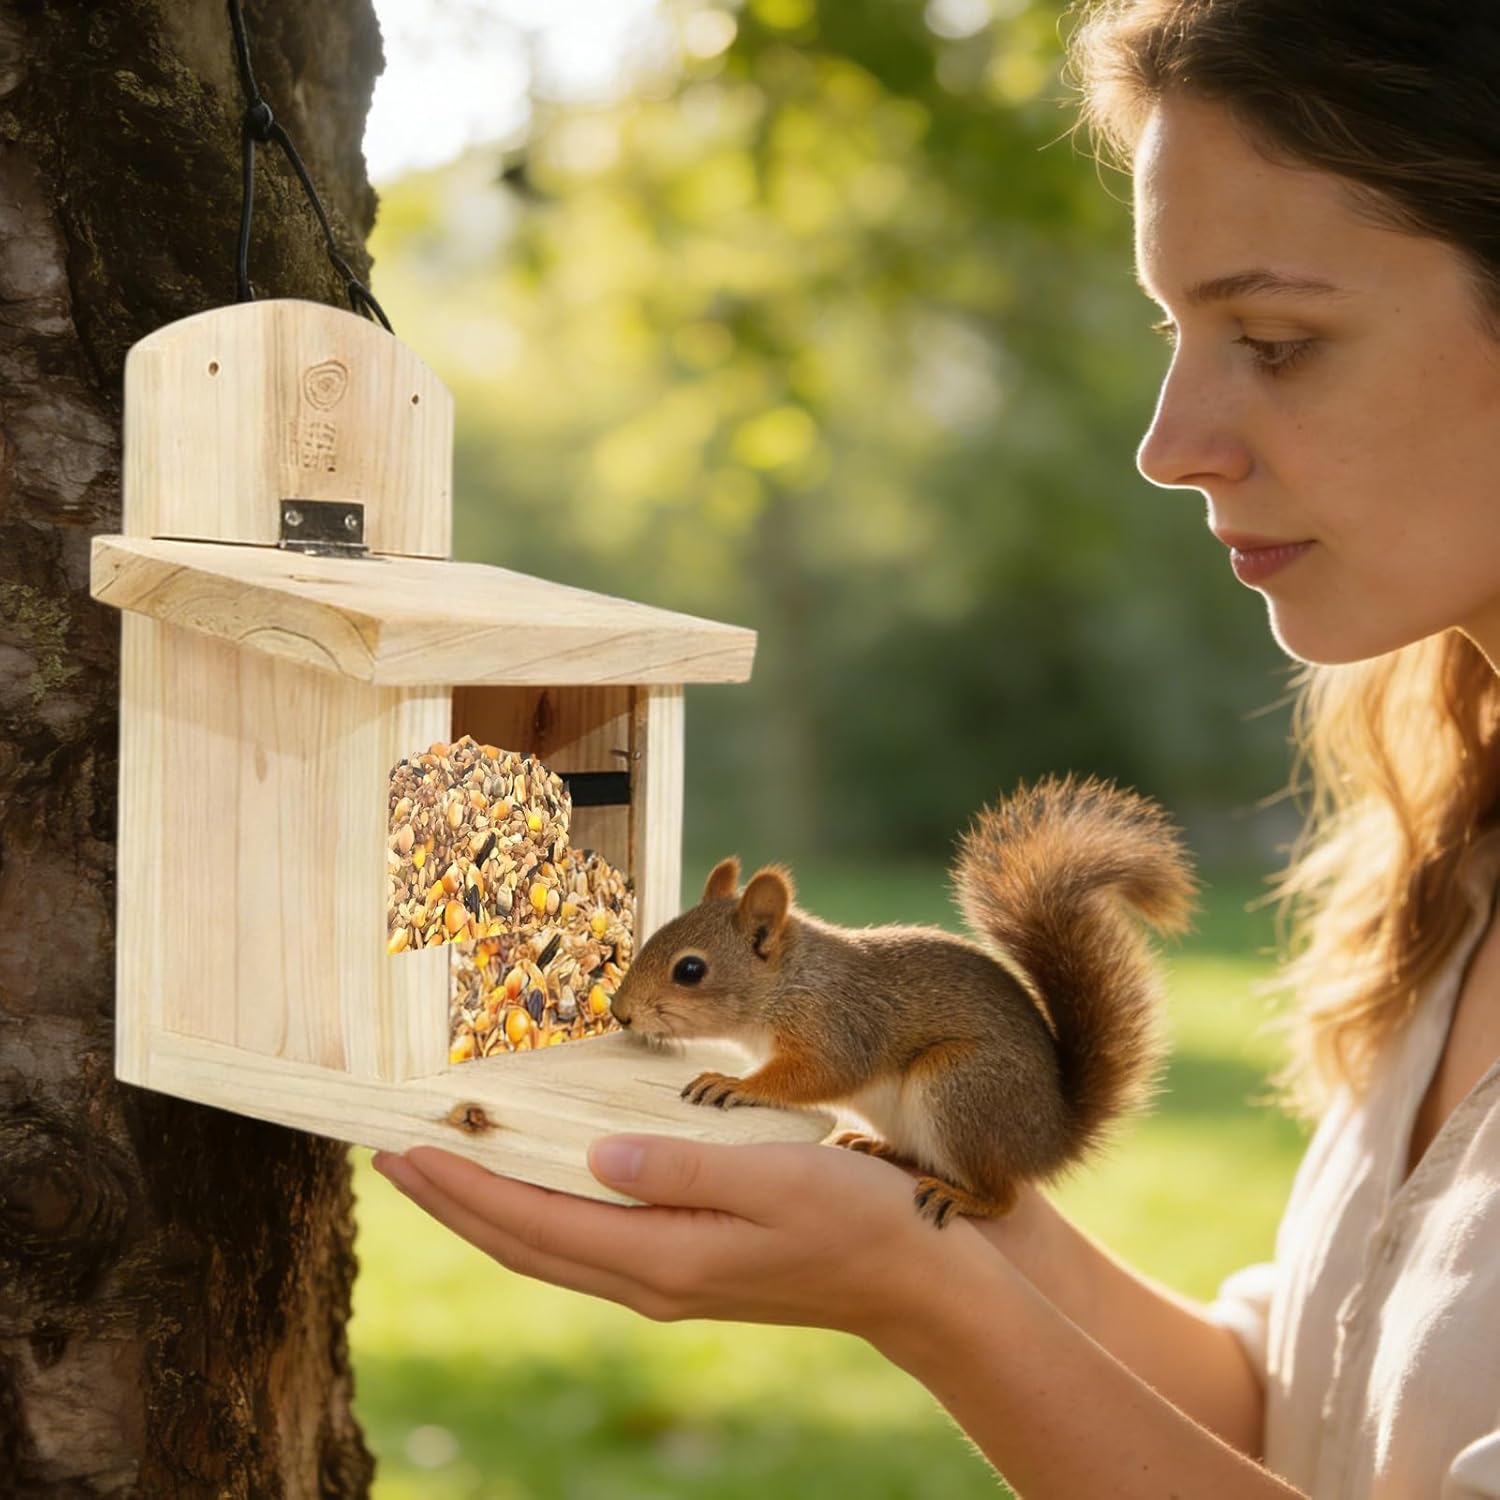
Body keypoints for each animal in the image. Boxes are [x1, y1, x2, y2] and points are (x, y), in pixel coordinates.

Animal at [607, 775, 1198, 1228]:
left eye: (690, 970)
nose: (621, 1012)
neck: (790, 982)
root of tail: (1049, 1137)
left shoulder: (839, 1026)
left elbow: (818, 1074)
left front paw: (733, 1083)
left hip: (961, 1087)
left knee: (1004, 1198)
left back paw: (962, 1196)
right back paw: (880, 1147)